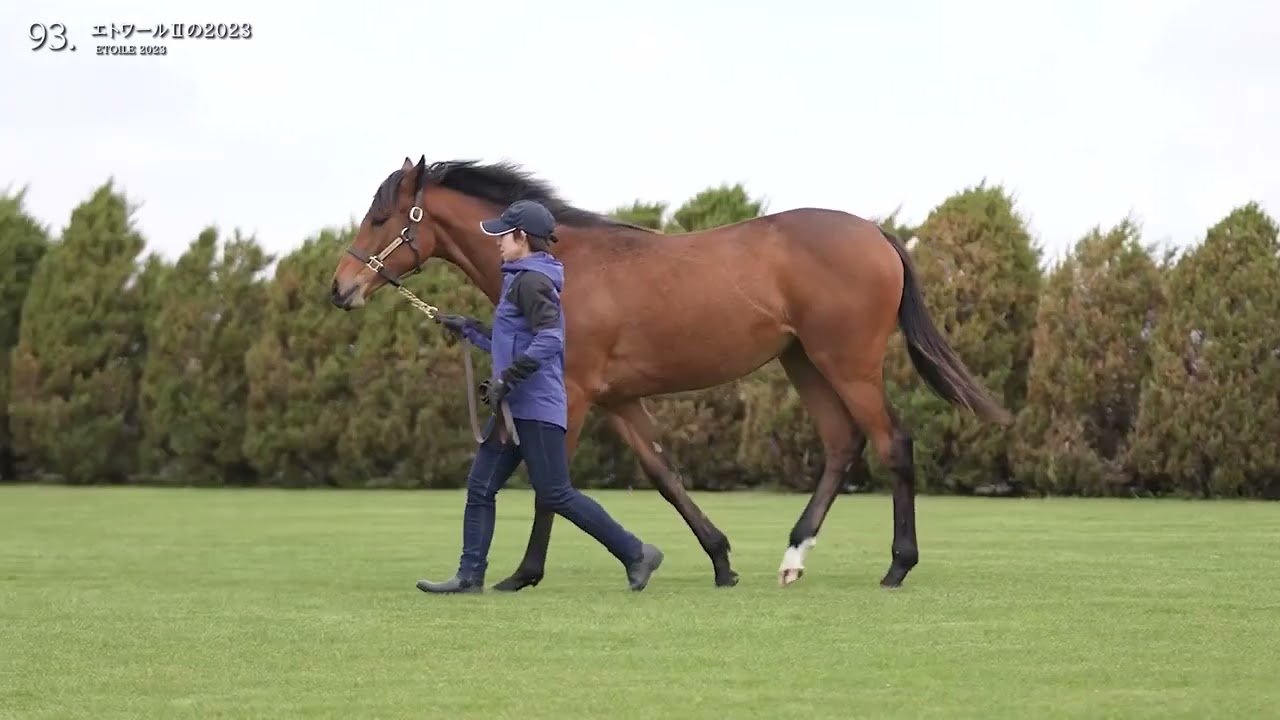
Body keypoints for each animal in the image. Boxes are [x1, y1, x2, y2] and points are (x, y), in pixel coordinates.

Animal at [329, 155, 1012, 590]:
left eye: (383, 217)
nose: (340, 288)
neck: (565, 264)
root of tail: (877, 234)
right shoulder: (619, 400)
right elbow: (664, 475)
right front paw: (719, 561)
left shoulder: (573, 396)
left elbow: (552, 488)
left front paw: (524, 574)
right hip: (803, 361)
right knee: (843, 445)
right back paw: (793, 556)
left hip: (847, 363)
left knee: (892, 443)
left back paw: (897, 566)